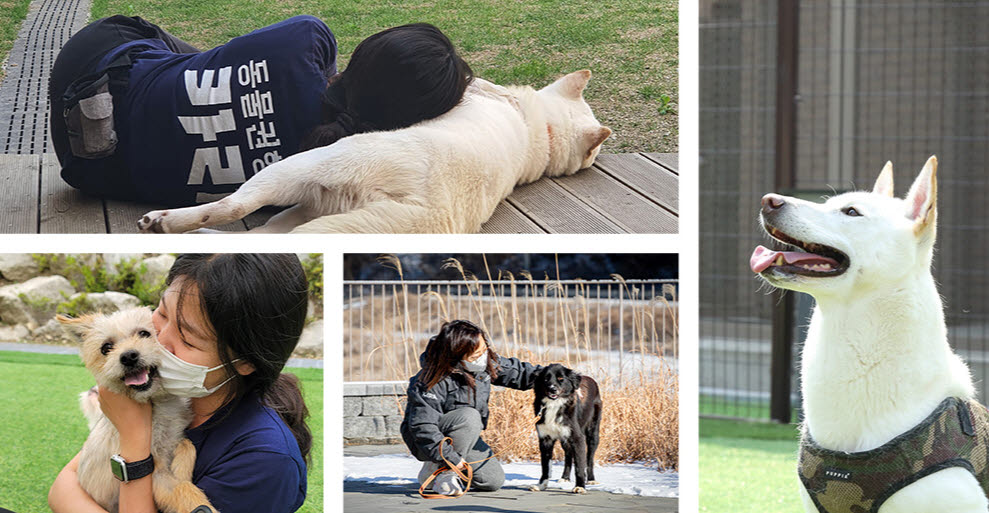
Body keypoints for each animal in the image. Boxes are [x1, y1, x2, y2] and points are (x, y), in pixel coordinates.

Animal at [62, 308, 218, 512]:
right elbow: (183, 489)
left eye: (144, 333)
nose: (128, 356)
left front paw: (181, 467)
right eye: (106, 348)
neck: (157, 404)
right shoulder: (156, 473)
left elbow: (187, 445)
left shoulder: (175, 437)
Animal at [138, 69, 608, 232]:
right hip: (311, 210)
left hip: (301, 168)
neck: (539, 128)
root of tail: (427, 209)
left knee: (233, 207)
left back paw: (165, 221)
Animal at [528, 362, 600, 494]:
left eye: (561, 379)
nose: (552, 389)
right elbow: (545, 467)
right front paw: (541, 485)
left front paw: (580, 486)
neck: (554, 404)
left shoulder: (577, 438)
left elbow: (579, 465)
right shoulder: (545, 439)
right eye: (545, 379)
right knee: (568, 455)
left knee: (589, 458)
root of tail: (590, 379)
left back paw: (591, 479)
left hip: (593, 434)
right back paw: (565, 477)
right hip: (564, 439)